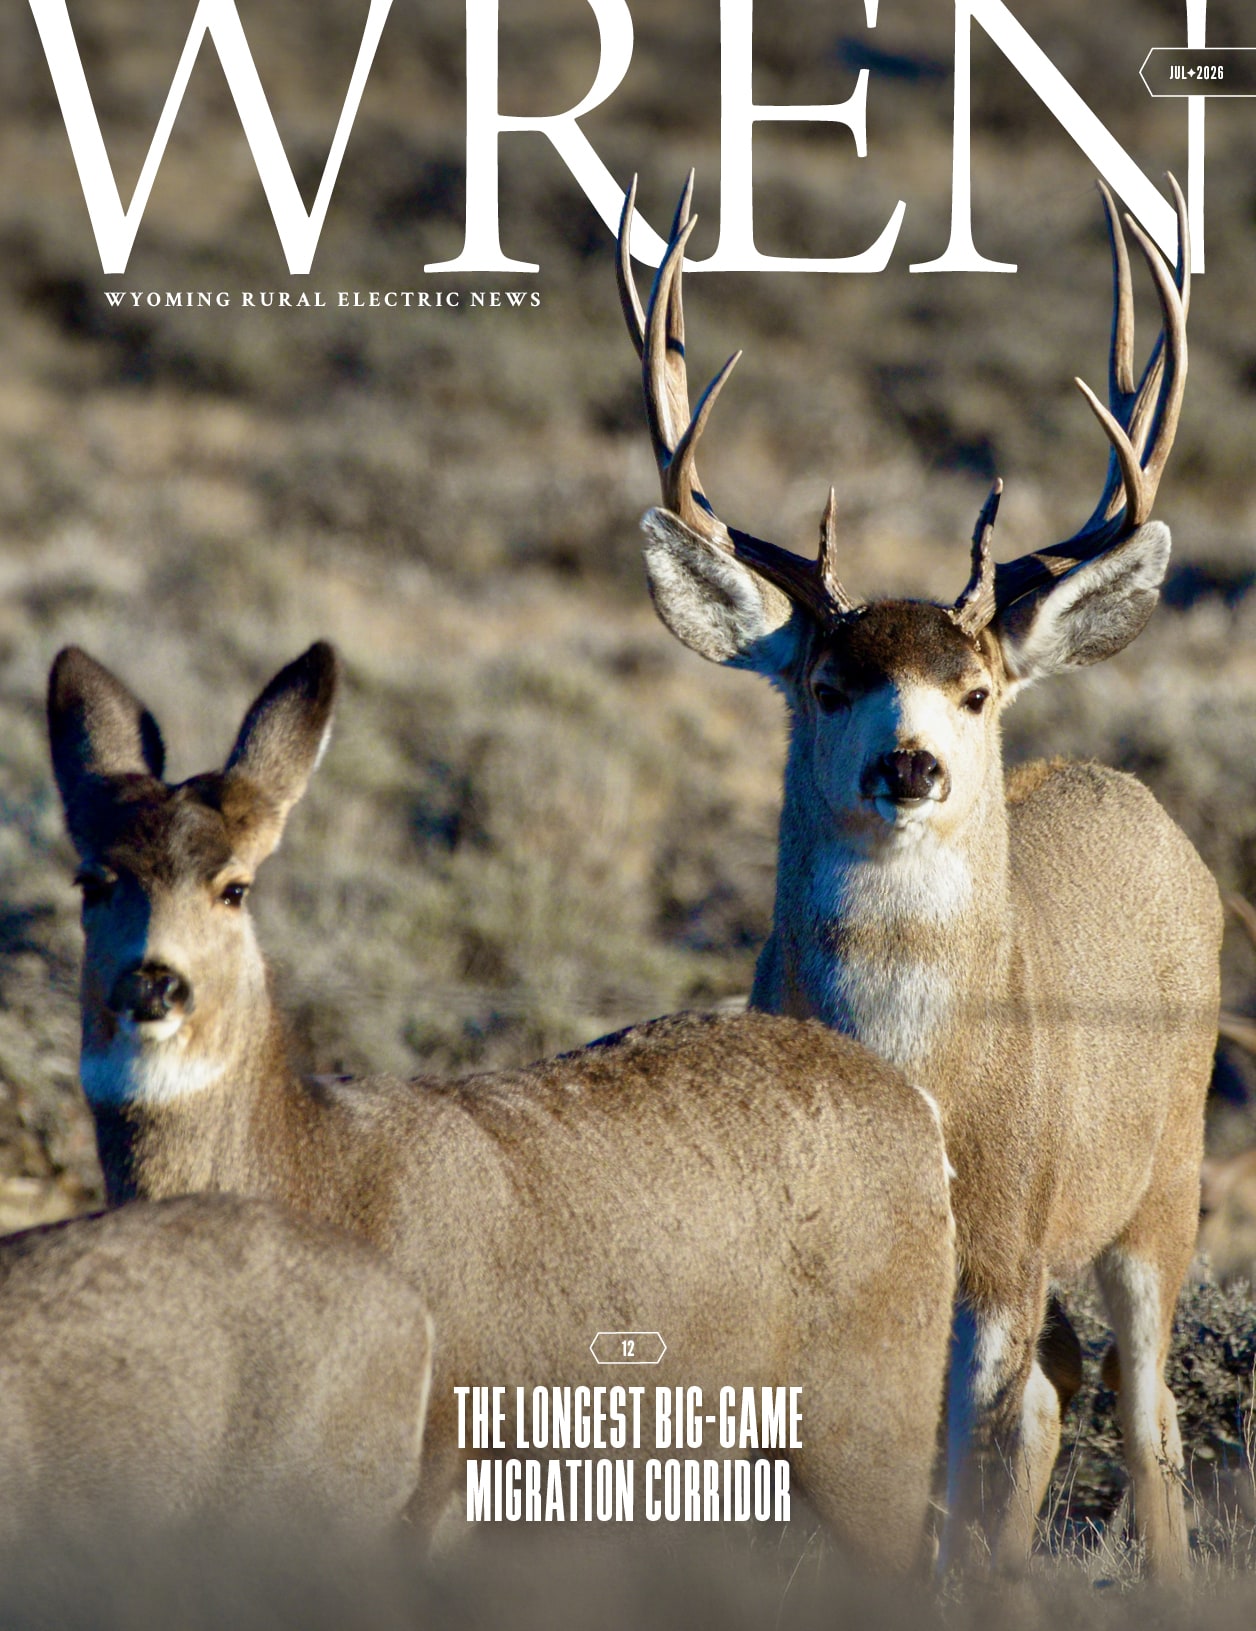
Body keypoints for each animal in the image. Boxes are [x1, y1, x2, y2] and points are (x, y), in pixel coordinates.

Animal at [47, 639, 957, 1572]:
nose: (152, 981)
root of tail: (917, 1110)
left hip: (874, 1398)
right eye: (92, 881)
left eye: (234, 887)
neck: (310, 1168)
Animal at [615, 174, 1221, 1578]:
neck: (925, 1079)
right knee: (1062, 1393)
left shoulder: (996, 1246)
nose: (910, 764)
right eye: (827, 682)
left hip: (1161, 1173)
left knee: (1143, 1410)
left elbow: (962, 1474)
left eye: (975, 688)